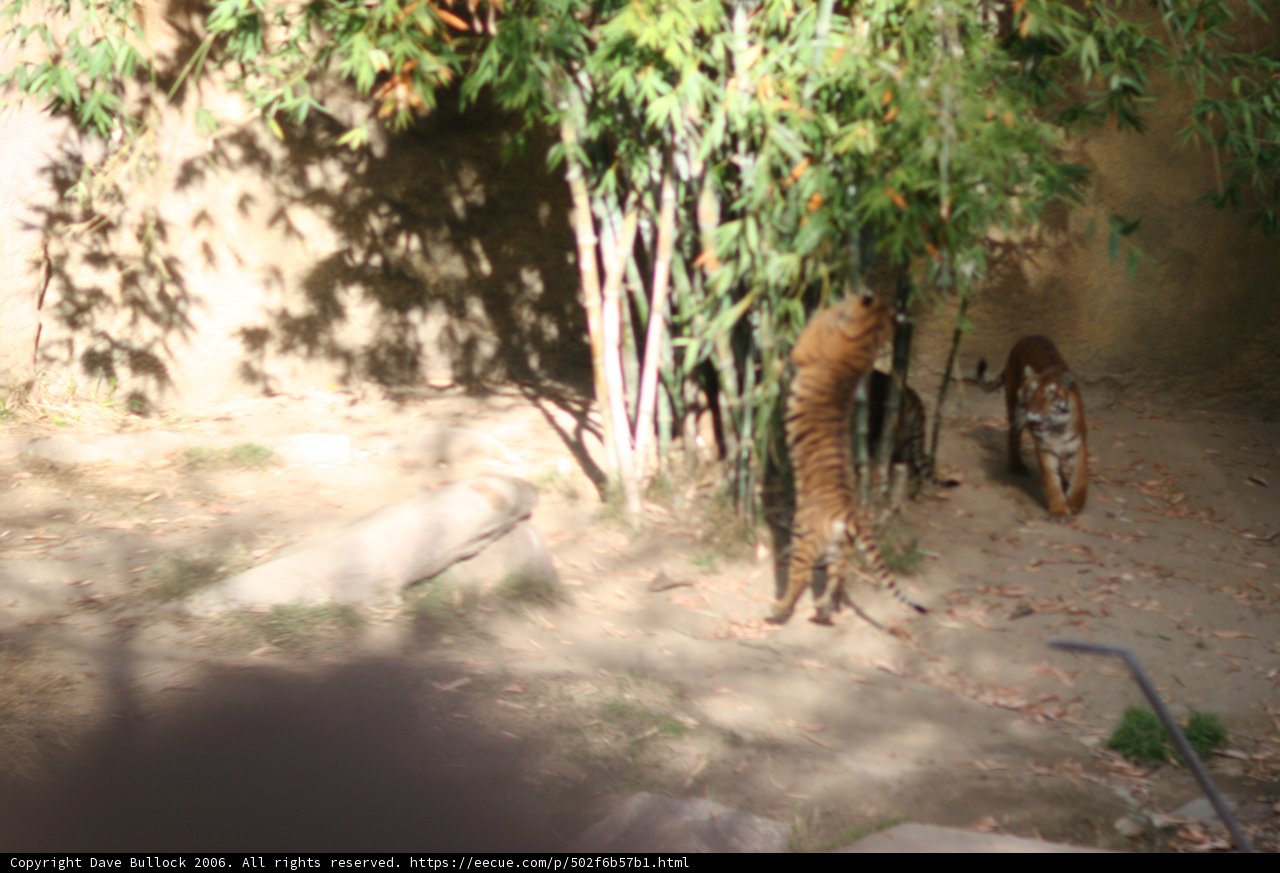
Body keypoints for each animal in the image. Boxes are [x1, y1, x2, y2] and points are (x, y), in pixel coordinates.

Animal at [767, 294, 929, 626]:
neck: (863, 341)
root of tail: (849, 514)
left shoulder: (805, 346)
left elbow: (807, 332)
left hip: (804, 536)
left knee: (801, 578)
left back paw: (779, 608)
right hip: (839, 549)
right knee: (837, 577)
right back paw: (823, 608)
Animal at [977, 335, 1088, 518]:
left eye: (1050, 395)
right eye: (1031, 392)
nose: (1032, 414)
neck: (1056, 430)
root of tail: (1026, 337)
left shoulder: (1078, 446)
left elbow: (1079, 478)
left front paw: (1074, 504)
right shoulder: (1045, 449)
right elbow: (1051, 482)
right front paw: (1059, 511)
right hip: (1014, 410)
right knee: (1013, 438)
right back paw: (1016, 466)